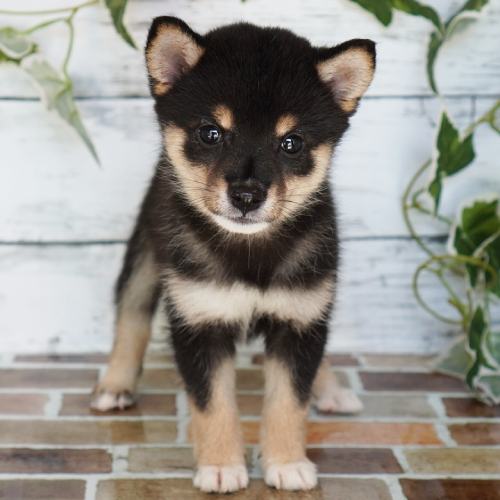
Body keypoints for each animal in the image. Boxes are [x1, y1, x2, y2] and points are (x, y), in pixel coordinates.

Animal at [93, 17, 376, 494]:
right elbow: (213, 405)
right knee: (130, 316)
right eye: (211, 133)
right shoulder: (198, 322)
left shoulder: (300, 319)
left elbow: (289, 399)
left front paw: (286, 462)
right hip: (146, 255)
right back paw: (115, 384)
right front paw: (222, 466)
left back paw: (331, 389)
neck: (250, 252)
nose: (246, 195)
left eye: (292, 143)